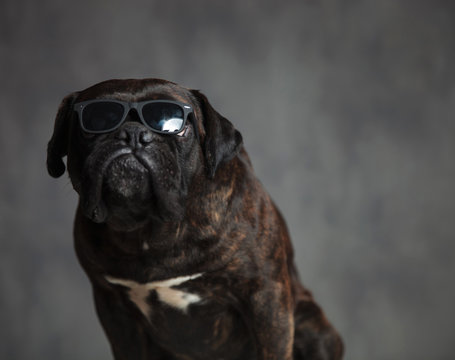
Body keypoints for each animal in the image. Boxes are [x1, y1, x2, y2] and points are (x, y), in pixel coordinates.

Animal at [48, 79, 344, 360]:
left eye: (176, 126)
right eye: (97, 120)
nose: (132, 133)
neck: (150, 228)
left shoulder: (266, 297)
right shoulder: (114, 310)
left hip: (314, 329)